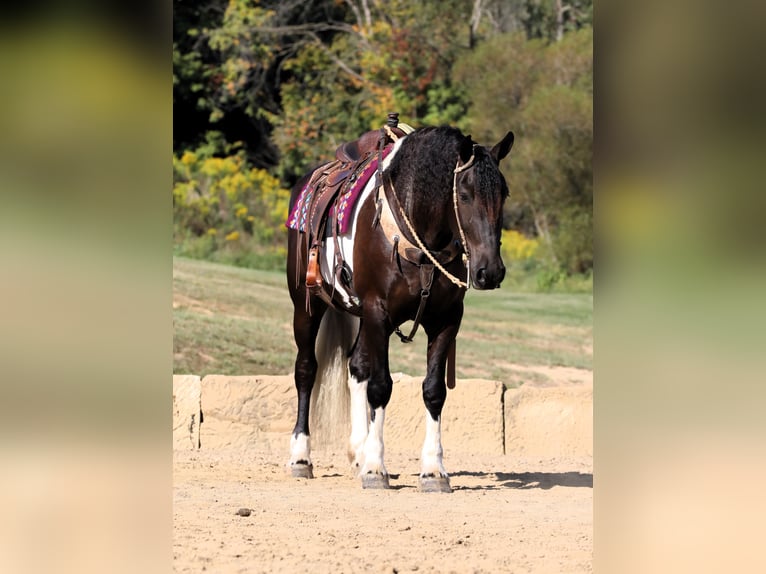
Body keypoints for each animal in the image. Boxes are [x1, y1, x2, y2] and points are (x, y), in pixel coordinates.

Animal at [284, 124, 512, 492]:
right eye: (464, 195)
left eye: (503, 194)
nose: (489, 271)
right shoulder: (379, 312)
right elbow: (381, 386)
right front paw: (377, 468)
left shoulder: (447, 319)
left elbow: (433, 391)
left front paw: (433, 470)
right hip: (307, 306)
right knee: (306, 370)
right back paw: (301, 457)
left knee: (356, 367)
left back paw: (358, 452)